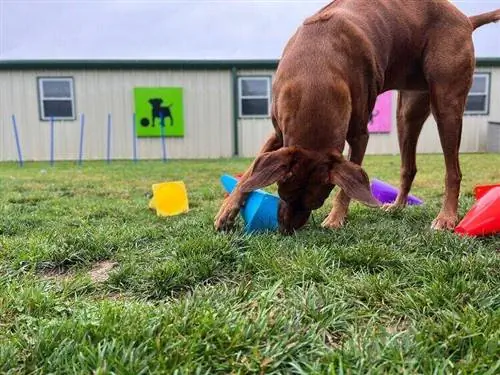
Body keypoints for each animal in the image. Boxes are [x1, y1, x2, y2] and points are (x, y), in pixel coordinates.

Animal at [215, 0, 500, 235]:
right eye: (283, 193)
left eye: (316, 203)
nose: (287, 231)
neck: (315, 72)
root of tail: (466, 19)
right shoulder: (278, 133)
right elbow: (250, 171)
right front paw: (227, 210)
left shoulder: (360, 134)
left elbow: (346, 186)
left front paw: (335, 217)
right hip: (407, 112)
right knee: (409, 166)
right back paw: (397, 206)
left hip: (446, 103)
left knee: (453, 171)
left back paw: (446, 217)